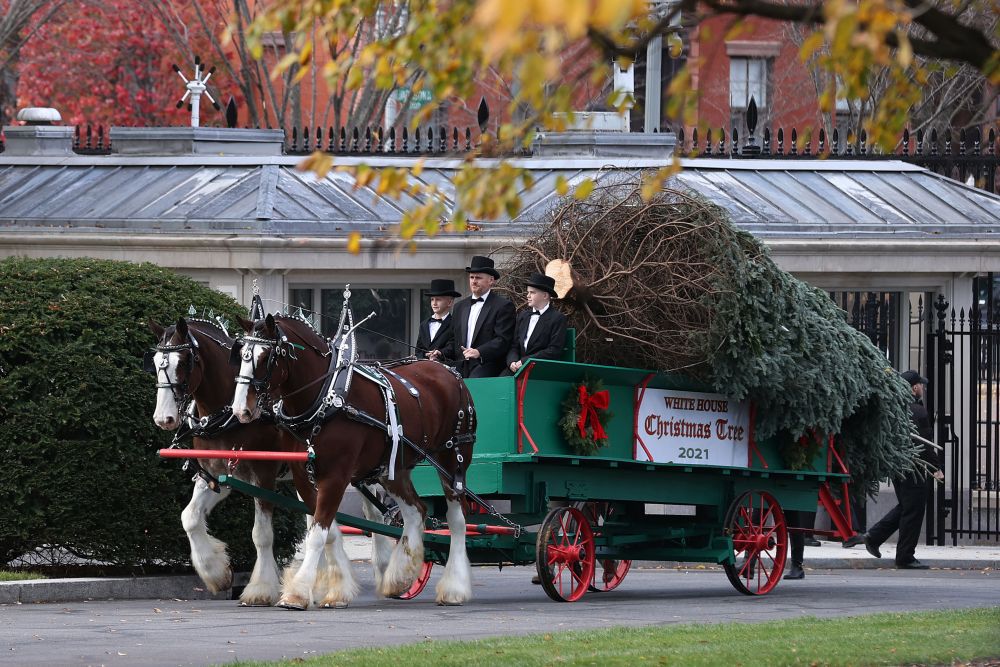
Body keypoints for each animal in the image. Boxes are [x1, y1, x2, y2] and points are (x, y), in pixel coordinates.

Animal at [146, 318, 312, 604]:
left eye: (184, 361)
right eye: (156, 361)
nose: (163, 418)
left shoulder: (263, 477)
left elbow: (261, 535)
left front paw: (260, 588)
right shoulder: (215, 476)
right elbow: (189, 517)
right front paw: (216, 572)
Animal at [230, 314, 476, 612]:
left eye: (266, 357)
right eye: (241, 354)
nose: (240, 410)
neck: (325, 398)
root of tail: (450, 372)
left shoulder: (336, 476)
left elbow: (318, 534)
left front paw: (297, 593)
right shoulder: (303, 475)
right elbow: (326, 531)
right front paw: (336, 590)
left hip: (453, 460)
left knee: (457, 520)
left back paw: (454, 588)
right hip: (392, 468)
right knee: (416, 511)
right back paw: (399, 577)